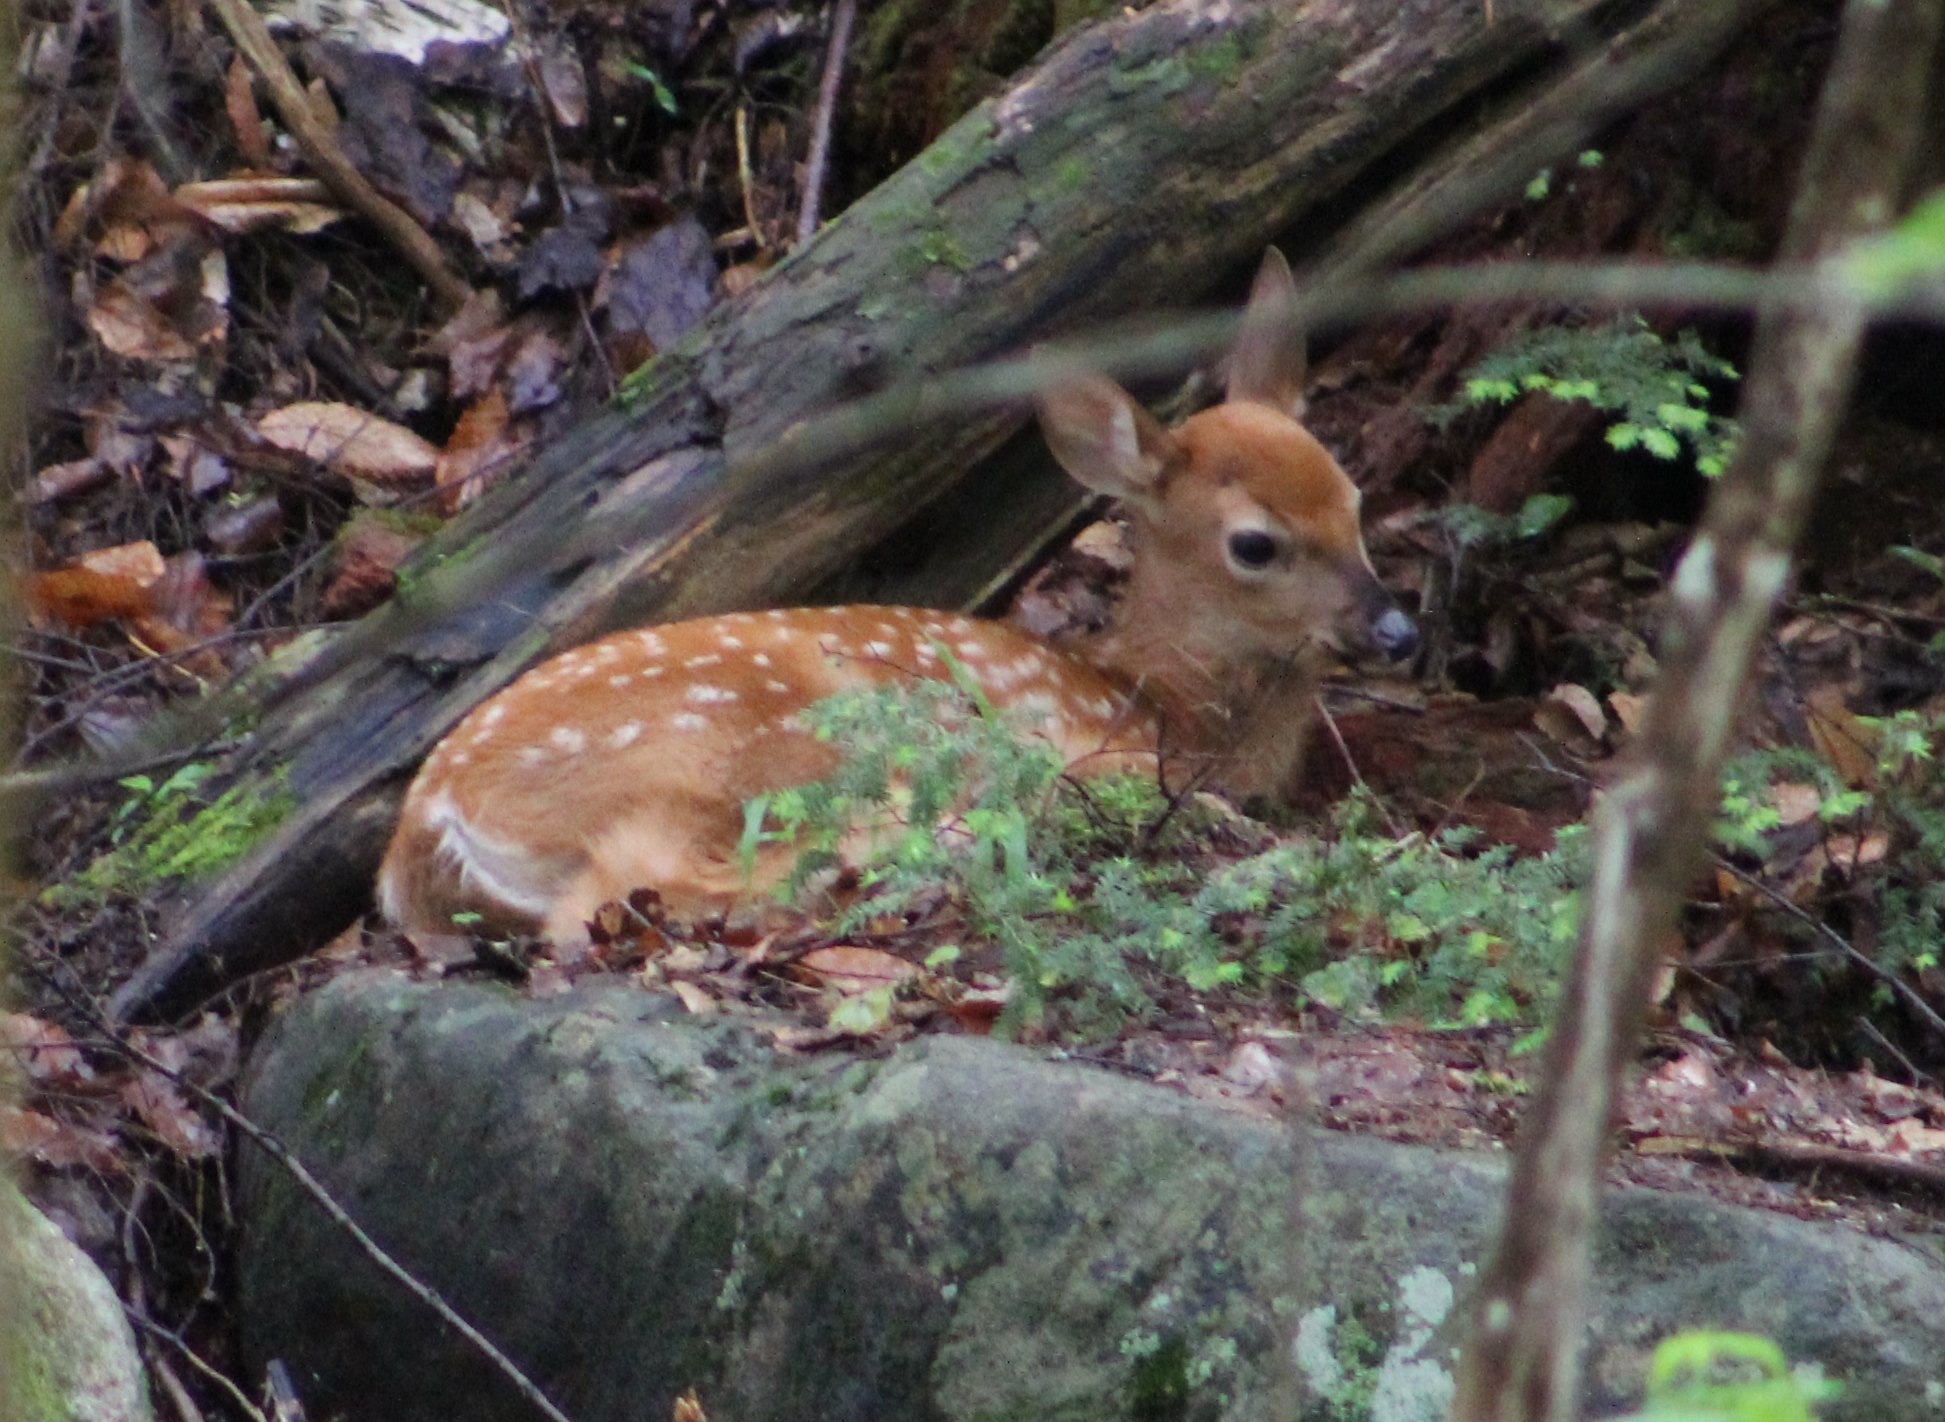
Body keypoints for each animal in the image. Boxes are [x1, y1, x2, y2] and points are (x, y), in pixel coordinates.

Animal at [378, 250, 1418, 947]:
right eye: (1255, 544)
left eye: (1354, 499)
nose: (1397, 626)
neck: (1169, 706)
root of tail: (427, 826)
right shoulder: (1105, 749)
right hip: (756, 745)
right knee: (631, 893)